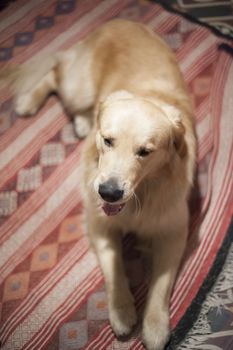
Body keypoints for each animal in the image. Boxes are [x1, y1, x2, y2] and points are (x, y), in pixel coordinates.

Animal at [5, 19, 197, 350]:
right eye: (108, 140)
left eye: (145, 152)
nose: (108, 192)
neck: (143, 194)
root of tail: (119, 21)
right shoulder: (99, 224)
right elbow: (114, 269)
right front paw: (122, 311)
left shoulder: (173, 231)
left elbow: (161, 283)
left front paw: (155, 326)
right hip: (78, 87)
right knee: (54, 71)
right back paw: (30, 101)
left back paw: (82, 121)